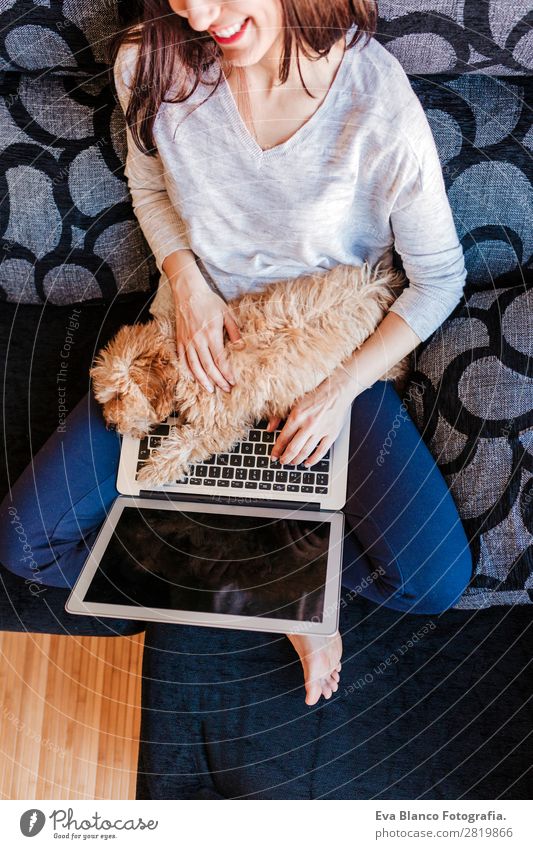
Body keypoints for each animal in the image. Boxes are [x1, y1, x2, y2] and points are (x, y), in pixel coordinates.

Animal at [90, 258, 408, 484]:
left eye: (118, 396)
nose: (109, 425)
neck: (180, 360)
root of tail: (379, 283)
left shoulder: (222, 425)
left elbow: (185, 443)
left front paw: (153, 470)